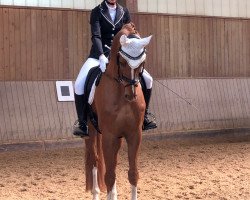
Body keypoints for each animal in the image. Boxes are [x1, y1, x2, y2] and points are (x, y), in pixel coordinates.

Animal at [85, 22, 152, 199]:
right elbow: (109, 175)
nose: (131, 95)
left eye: (142, 62)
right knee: (94, 160)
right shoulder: (109, 135)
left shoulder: (134, 134)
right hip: (92, 130)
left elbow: (133, 174)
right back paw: (95, 193)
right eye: (122, 61)